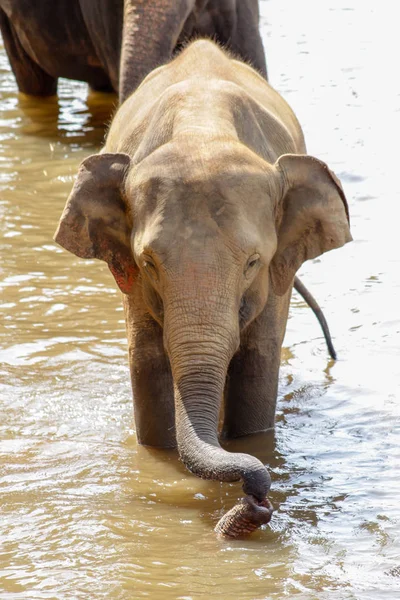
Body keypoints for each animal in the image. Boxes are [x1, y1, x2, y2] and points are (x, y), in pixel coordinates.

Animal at [54, 39, 352, 536]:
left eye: (253, 262)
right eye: (148, 263)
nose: (256, 499)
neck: (202, 129)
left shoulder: (277, 276)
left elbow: (259, 363)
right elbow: (146, 363)